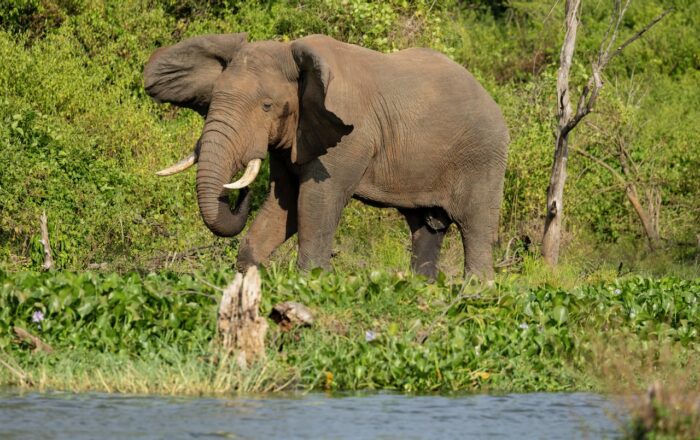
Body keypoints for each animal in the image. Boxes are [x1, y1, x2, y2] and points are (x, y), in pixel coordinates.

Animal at [144, 33, 508, 280]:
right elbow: (285, 205)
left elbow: (316, 203)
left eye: (267, 106)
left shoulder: (347, 138)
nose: (238, 193)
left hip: (484, 158)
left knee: (475, 228)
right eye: (212, 99)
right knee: (426, 230)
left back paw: (474, 295)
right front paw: (250, 275)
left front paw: (311, 281)